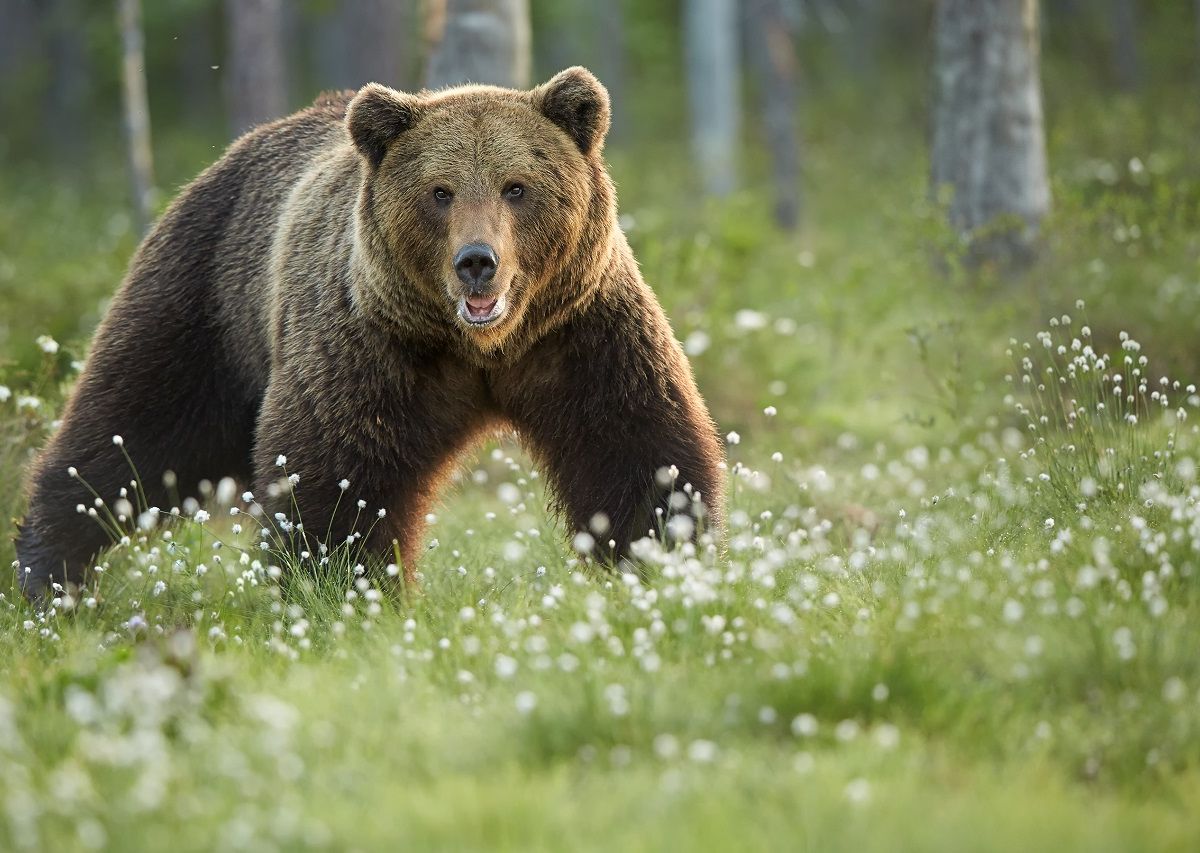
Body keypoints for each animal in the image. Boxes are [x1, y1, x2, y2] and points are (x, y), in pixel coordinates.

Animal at [11, 66, 720, 599]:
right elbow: (338, 473)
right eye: (440, 191)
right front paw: (339, 590)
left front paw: (662, 559)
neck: (482, 348)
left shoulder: (579, 330)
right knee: (133, 428)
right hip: (206, 299)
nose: (477, 261)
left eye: (517, 187)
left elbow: (634, 446)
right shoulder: (371, 344)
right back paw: (49, 572)